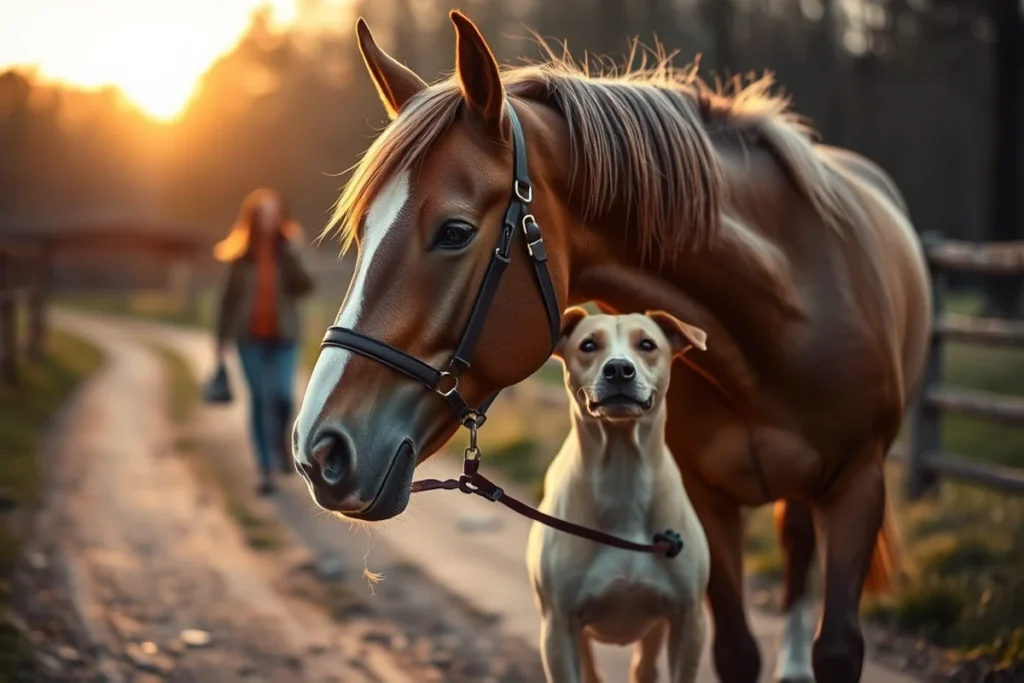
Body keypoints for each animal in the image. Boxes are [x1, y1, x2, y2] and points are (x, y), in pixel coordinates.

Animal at [293, 11, 931, 683]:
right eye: (362, 231)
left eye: (456, 231)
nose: (319, 450)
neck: (783, 319)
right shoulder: (707, 498)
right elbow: (735, 651)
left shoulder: (858, 483)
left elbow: (836, 647)